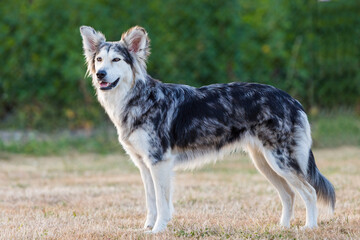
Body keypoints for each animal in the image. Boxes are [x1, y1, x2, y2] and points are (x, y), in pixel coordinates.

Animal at [79, 24, 334, 232]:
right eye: (99, 59)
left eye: (117, 60)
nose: (100, 74)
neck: (139, 98)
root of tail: (291, 99)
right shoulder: (144, 165)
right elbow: (151, 201)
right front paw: (148, 227)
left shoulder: (159, 163)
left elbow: (162, 203)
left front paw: (158, 229)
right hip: (265, 163)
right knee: (289, 194)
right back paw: (282, 227)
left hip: (280, 162)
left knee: (309, 192)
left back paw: (309, 228)